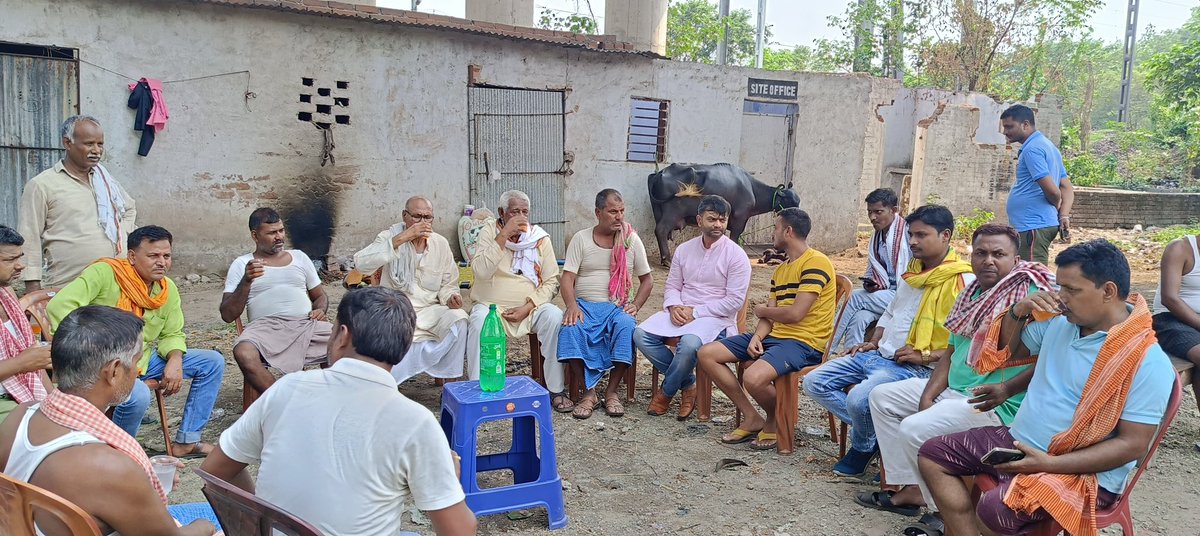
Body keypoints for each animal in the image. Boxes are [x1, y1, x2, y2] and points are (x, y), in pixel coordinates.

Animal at [648, 161, 796, 266]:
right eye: (789, 200)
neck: (751, 188)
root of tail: (660, 173)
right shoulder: (740, 218)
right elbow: (735, 237)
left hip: (658, 212)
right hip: (672, 213)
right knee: (661, 230)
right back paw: (667, 260)